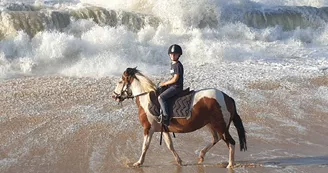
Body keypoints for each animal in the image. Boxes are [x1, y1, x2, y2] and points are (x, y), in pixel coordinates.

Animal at [112, 67, 246, 168]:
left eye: (120, 82)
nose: (114, 96)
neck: (146, 100)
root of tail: (227, 97)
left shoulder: (148, 128)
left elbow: (145, 146)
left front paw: (138, 163)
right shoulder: (164, 129)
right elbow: (170, 145)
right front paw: (179, 161)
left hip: (220, 125)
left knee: (230, 142)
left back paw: (230, 165)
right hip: (210, 124)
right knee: (216, 138)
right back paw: (201, 156)